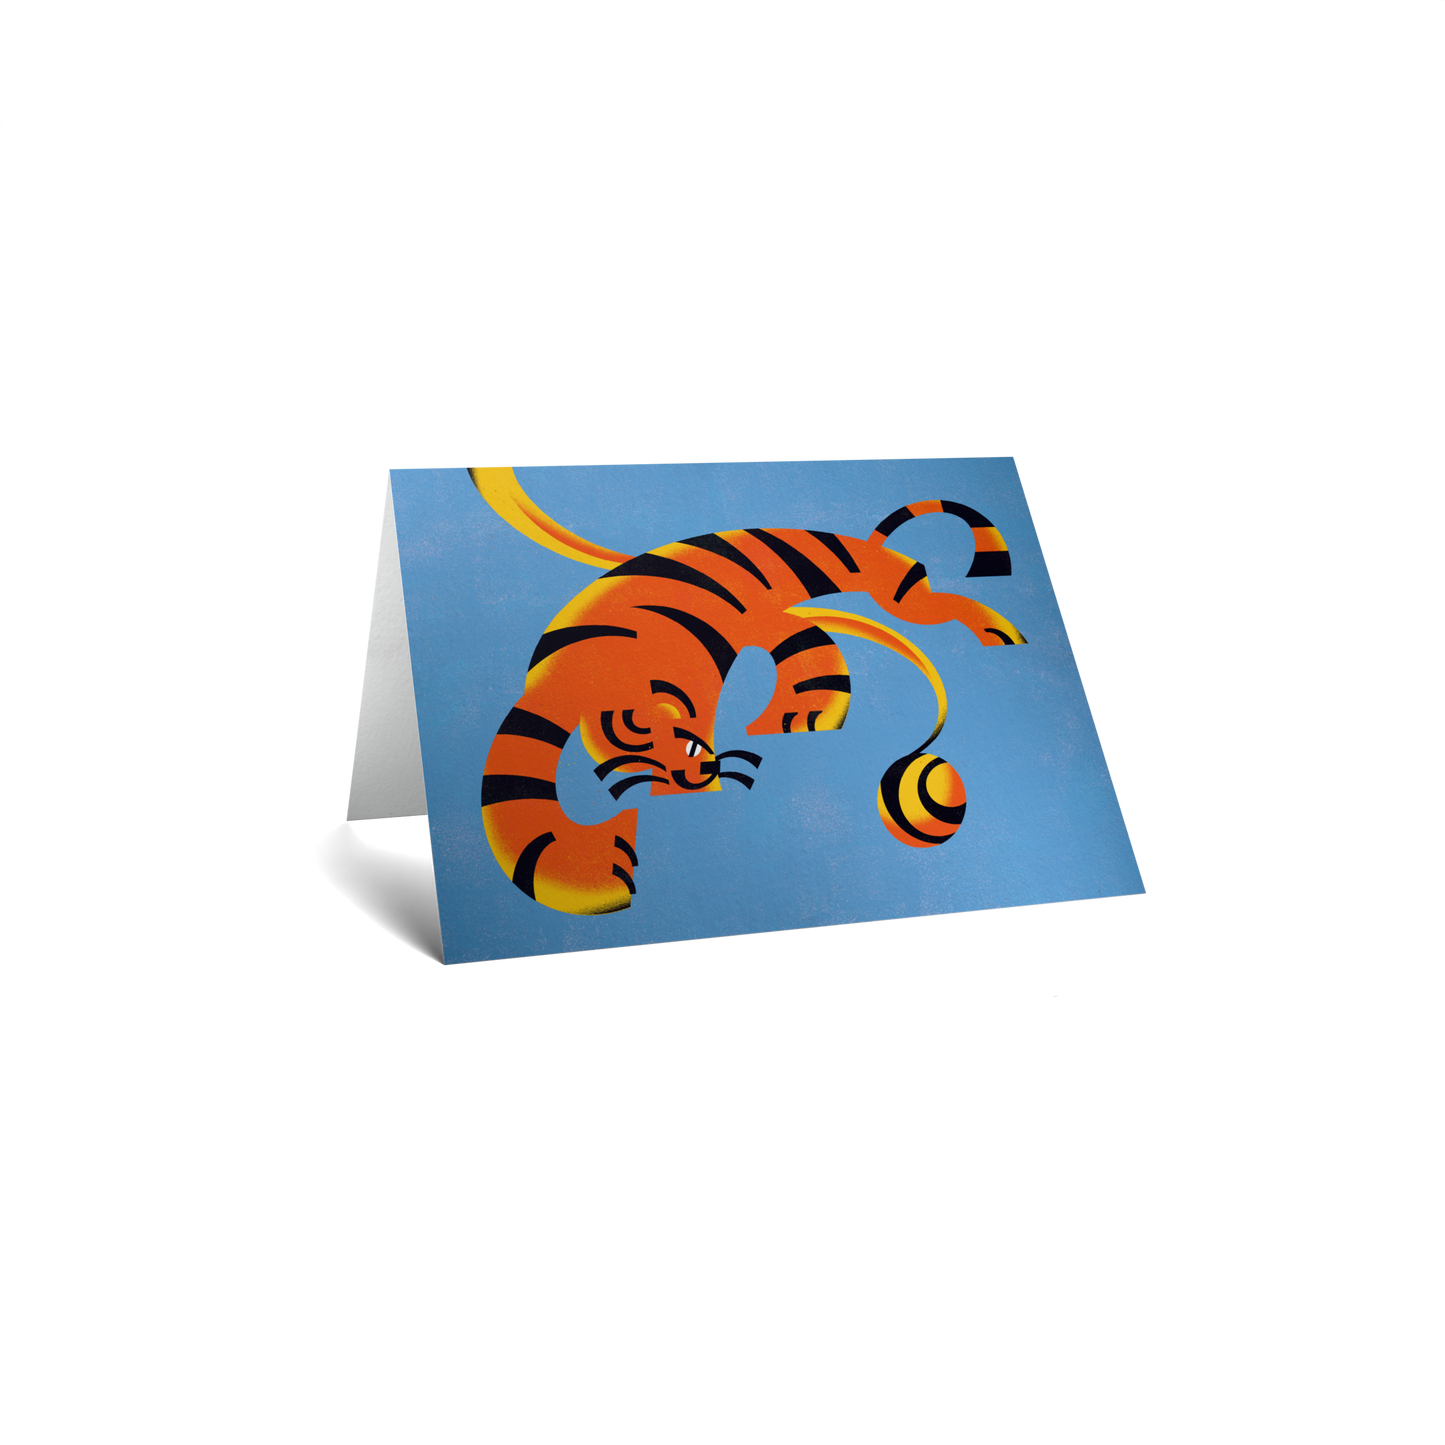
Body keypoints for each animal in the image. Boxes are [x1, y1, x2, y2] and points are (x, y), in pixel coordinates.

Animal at [471, 464, 1027, 917]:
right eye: (633, 737)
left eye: (691, 746)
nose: (695, 778)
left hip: (894, 593)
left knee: (929, 604)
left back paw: (996, 633)